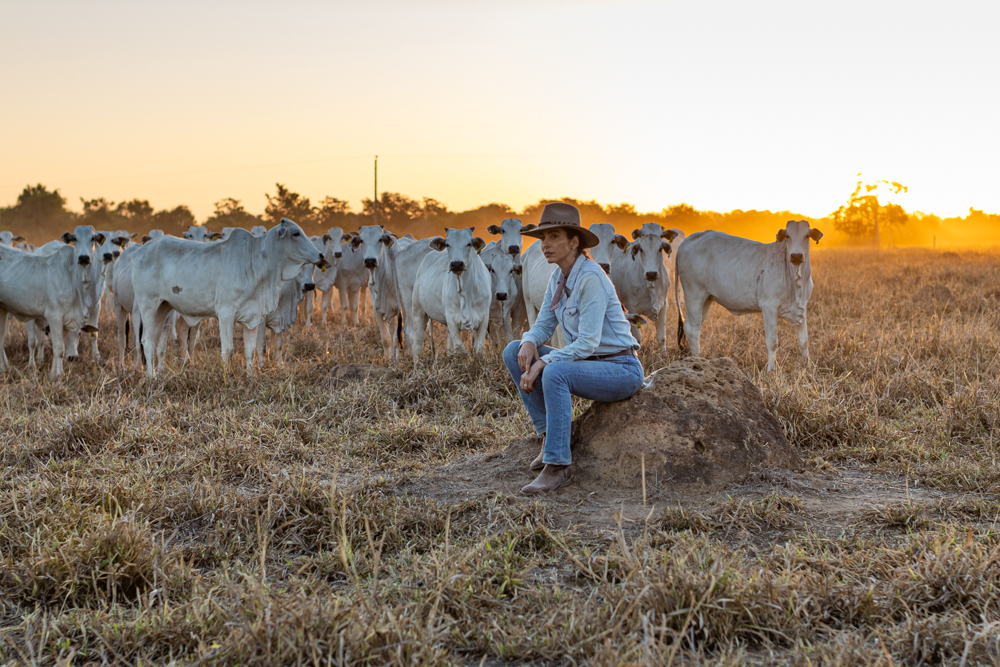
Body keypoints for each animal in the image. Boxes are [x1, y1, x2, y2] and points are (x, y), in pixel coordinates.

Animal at [0, 245, 96, 378]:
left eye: (79, 334)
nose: (73, 358)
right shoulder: (48, 317)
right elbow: (41, 344)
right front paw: (39, 369)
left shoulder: (62, 322)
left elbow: (56, 347)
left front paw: (52, 373)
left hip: (2, 309)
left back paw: (4, 369)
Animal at [132, 219, 324, 376]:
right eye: (296, 233)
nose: (321, 255)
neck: (255, 261)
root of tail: (141, 251)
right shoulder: (225, 314)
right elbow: (228, 350)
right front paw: (227, 376)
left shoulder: (253, 316)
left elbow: (250, 350)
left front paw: (251, 376)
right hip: (148, 306)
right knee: (146, 341)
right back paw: (152, 377)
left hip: (163, 307)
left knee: (155, 340)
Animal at [408, 228, 490, 360]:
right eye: (447, 244)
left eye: (469, 244)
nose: (456, 264)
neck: (466, 292)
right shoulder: (451, 318)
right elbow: (461, 349)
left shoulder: (484, 317)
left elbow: (479, 349)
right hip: (418, 311)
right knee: (417, 345)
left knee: (449, 346)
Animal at [676, 220, 824, 374]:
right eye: (788, 236)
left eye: (807, 235)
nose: (796, 256)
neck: (795, 280)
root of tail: (689, 239)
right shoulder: (769, 308)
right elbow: (772, 342)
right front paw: (771, 370)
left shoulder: (801, 308)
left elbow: (803, 341)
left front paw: (808, 366)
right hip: (694, 294)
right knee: (691, 329)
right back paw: (697, 360)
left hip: (706, 298)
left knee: (697, 327)